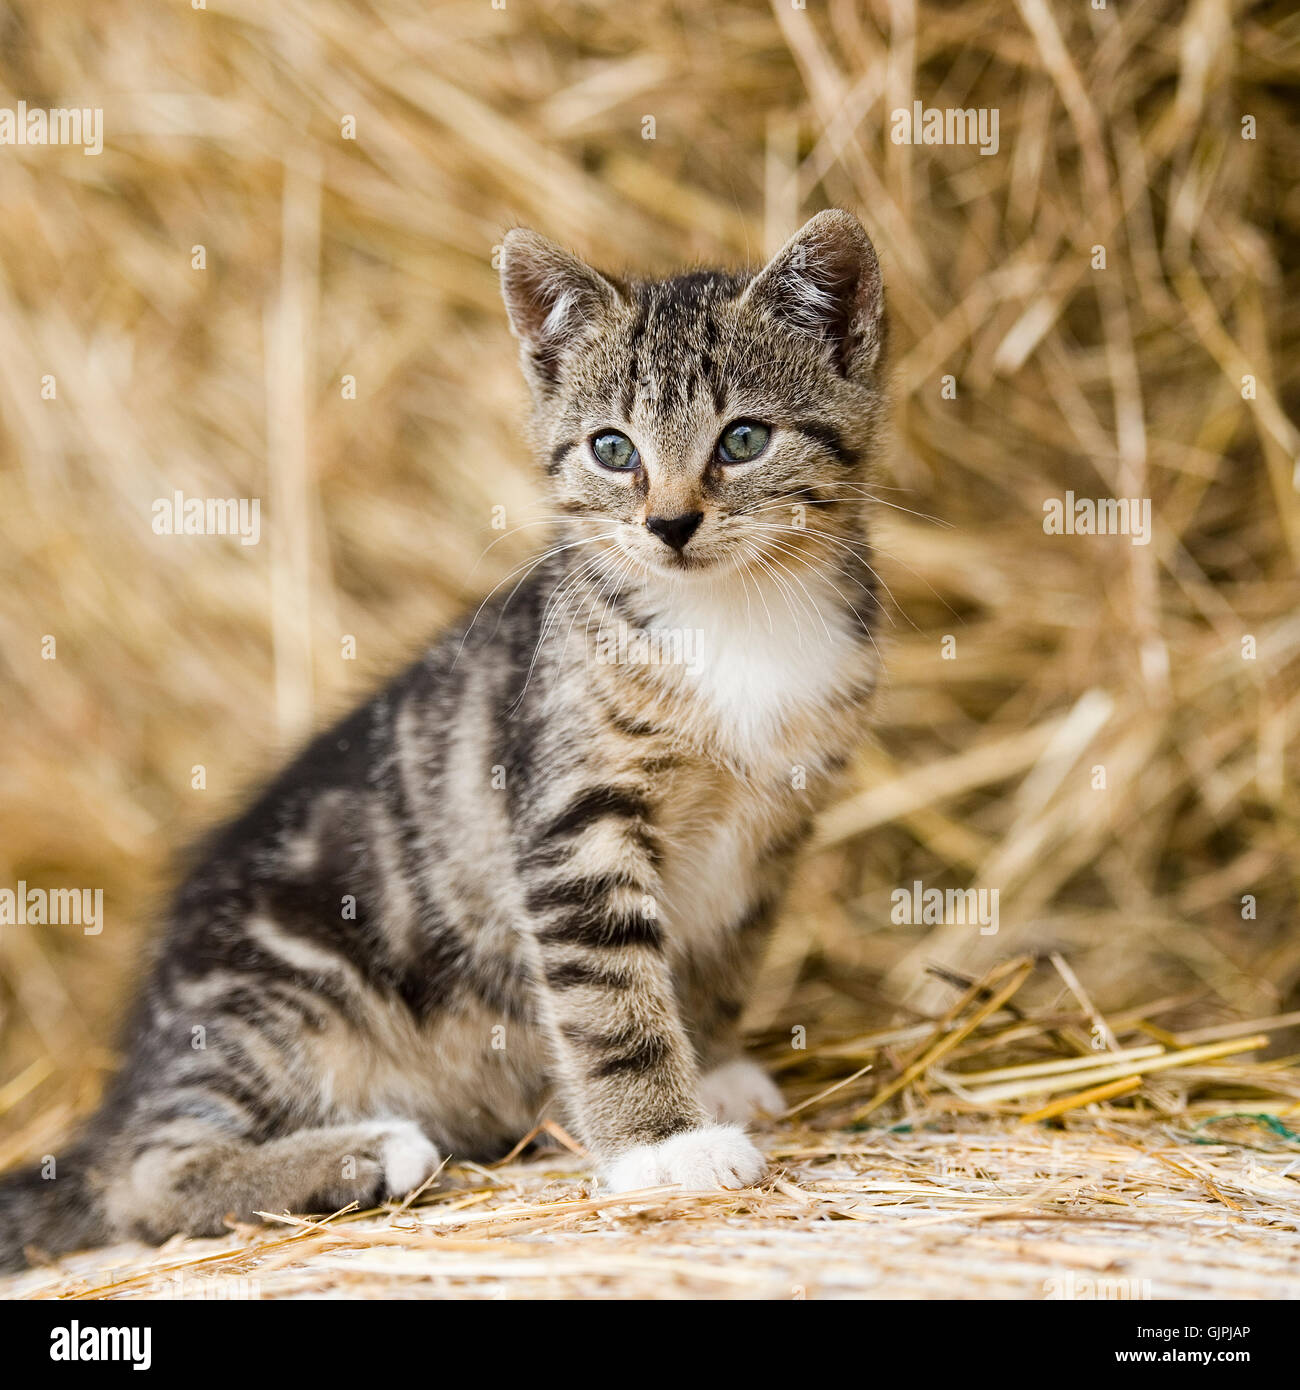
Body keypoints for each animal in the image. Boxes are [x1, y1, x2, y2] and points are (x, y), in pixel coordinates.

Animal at [0, 208, 889, 1273]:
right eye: (613, 449)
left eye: (744, 439)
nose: (669, 524)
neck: (730, 613)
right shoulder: (569, 818)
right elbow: (609, 996)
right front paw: (662, 1144)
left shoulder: (775, 826)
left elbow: (725, 956)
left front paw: (710, 1068)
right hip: (281, 986)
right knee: (141, 1176)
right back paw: (361, 1154)